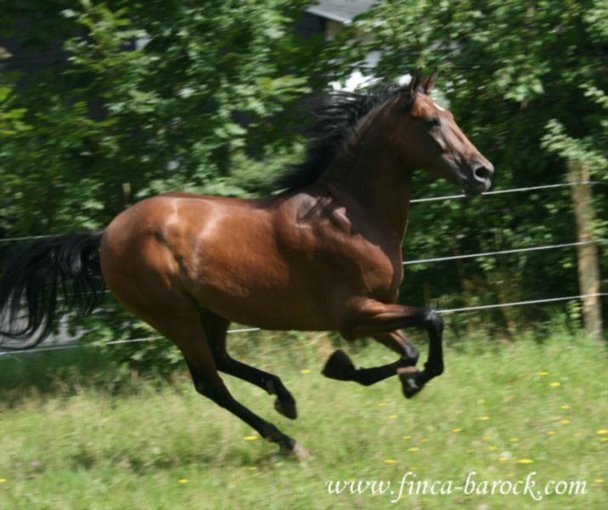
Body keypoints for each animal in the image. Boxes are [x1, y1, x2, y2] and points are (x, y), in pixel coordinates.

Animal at [0, 73, 492, 460]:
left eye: (450, 115)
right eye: (431, 122)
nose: (483, 173)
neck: (350, 214)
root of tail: (105, 236)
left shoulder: (375, 311)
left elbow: (412, 347)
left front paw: (401, 380)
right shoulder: (354, 314)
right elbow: (430, 322)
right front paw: (346, 368)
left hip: (211, 310)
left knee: (222, 360)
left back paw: (284, 397)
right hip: (174, 314)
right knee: (210, 382)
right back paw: (288, 441)